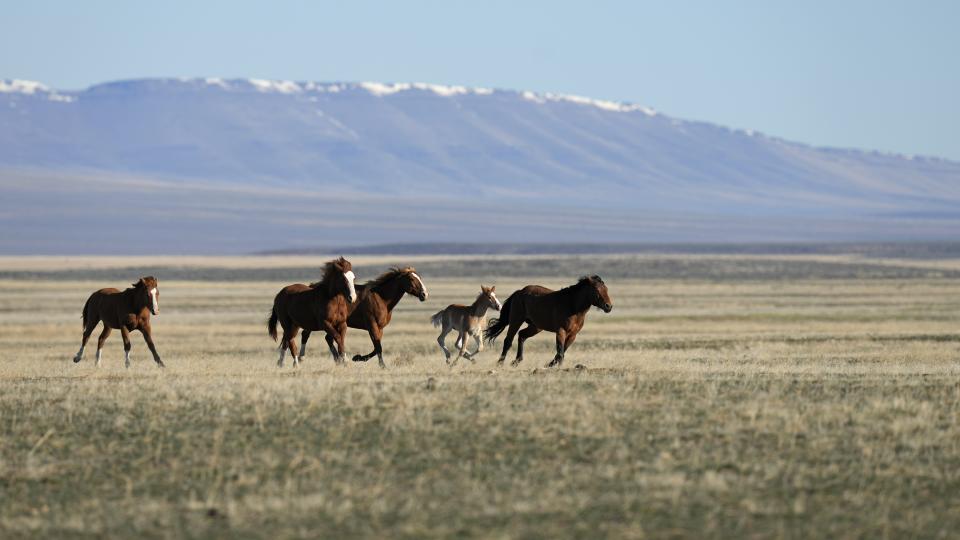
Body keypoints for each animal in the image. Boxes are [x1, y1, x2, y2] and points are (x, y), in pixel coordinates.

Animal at [484, 276, 612, 370]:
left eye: (606, 289)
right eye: (597, 290)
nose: (608, 306)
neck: (572, 305)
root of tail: (519, 292)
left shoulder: (572, 335)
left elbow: (562, 352)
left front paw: (549, 365)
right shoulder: (561, 331)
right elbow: (560, 352)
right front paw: (557, 367)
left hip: (536, 327)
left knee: (522, 335)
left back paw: (516, 361)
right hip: (516, 320)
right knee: (508, 340)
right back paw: (500, 363)